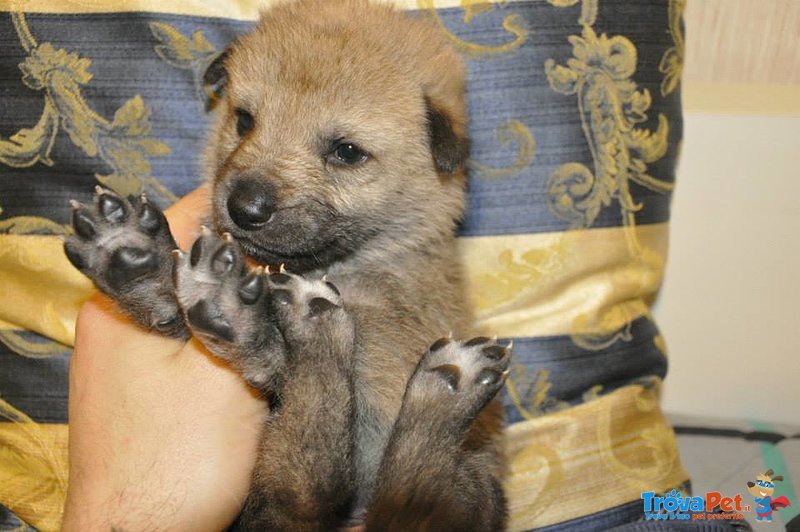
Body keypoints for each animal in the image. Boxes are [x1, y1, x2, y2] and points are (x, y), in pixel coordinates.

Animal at [65, 1, 510, 528]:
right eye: (244, 120)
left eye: (346, 152)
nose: (244, 207)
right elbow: (173, 313)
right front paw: (135, 259)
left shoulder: (379, 365)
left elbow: (284, 365)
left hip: (469, 487)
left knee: (367, 486)